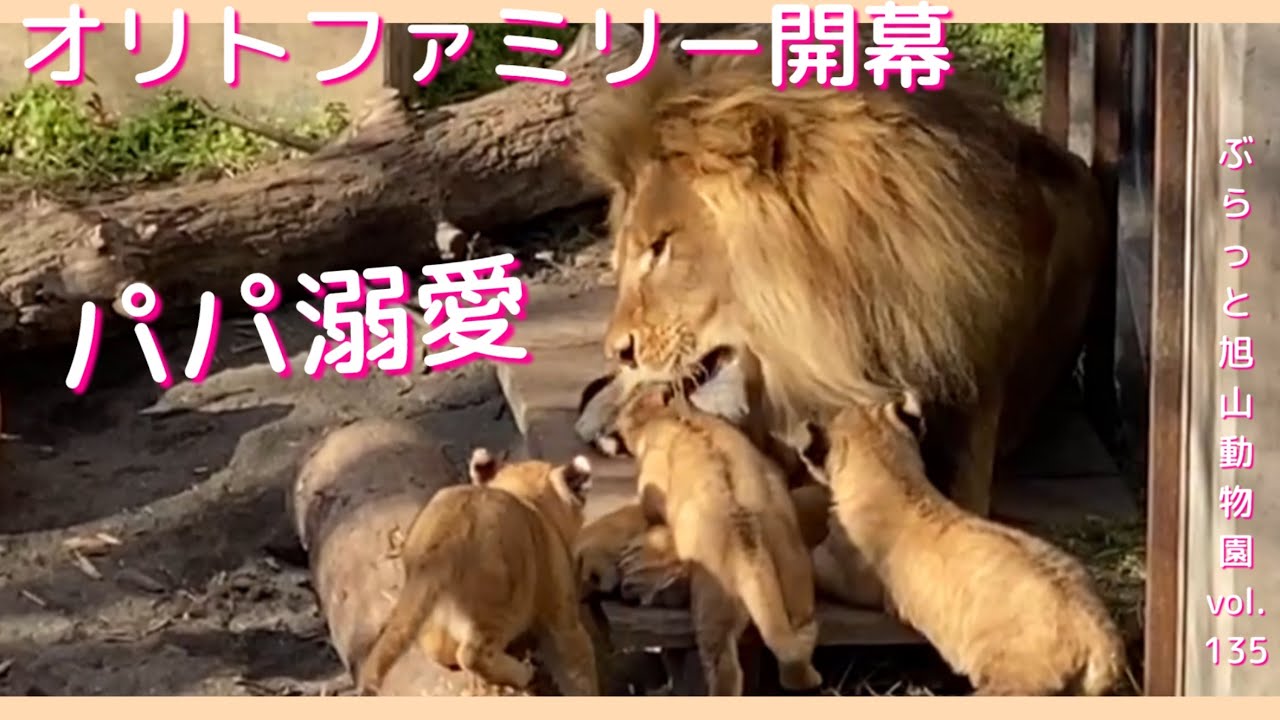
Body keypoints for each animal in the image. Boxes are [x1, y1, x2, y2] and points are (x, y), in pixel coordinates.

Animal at [355, 447, 600, 697]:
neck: (526, 496)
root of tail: (445, 537)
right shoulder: (563, 620)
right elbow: (579, 669)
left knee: (437, 647)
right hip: (504, 601)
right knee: (472, 655)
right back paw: (522, 673)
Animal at [604, 377, 825, 696]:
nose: (616, 413)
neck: (677, 414)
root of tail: (752, 547)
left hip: (712, 608)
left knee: (725, 669)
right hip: (797, 580)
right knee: (798, 641)